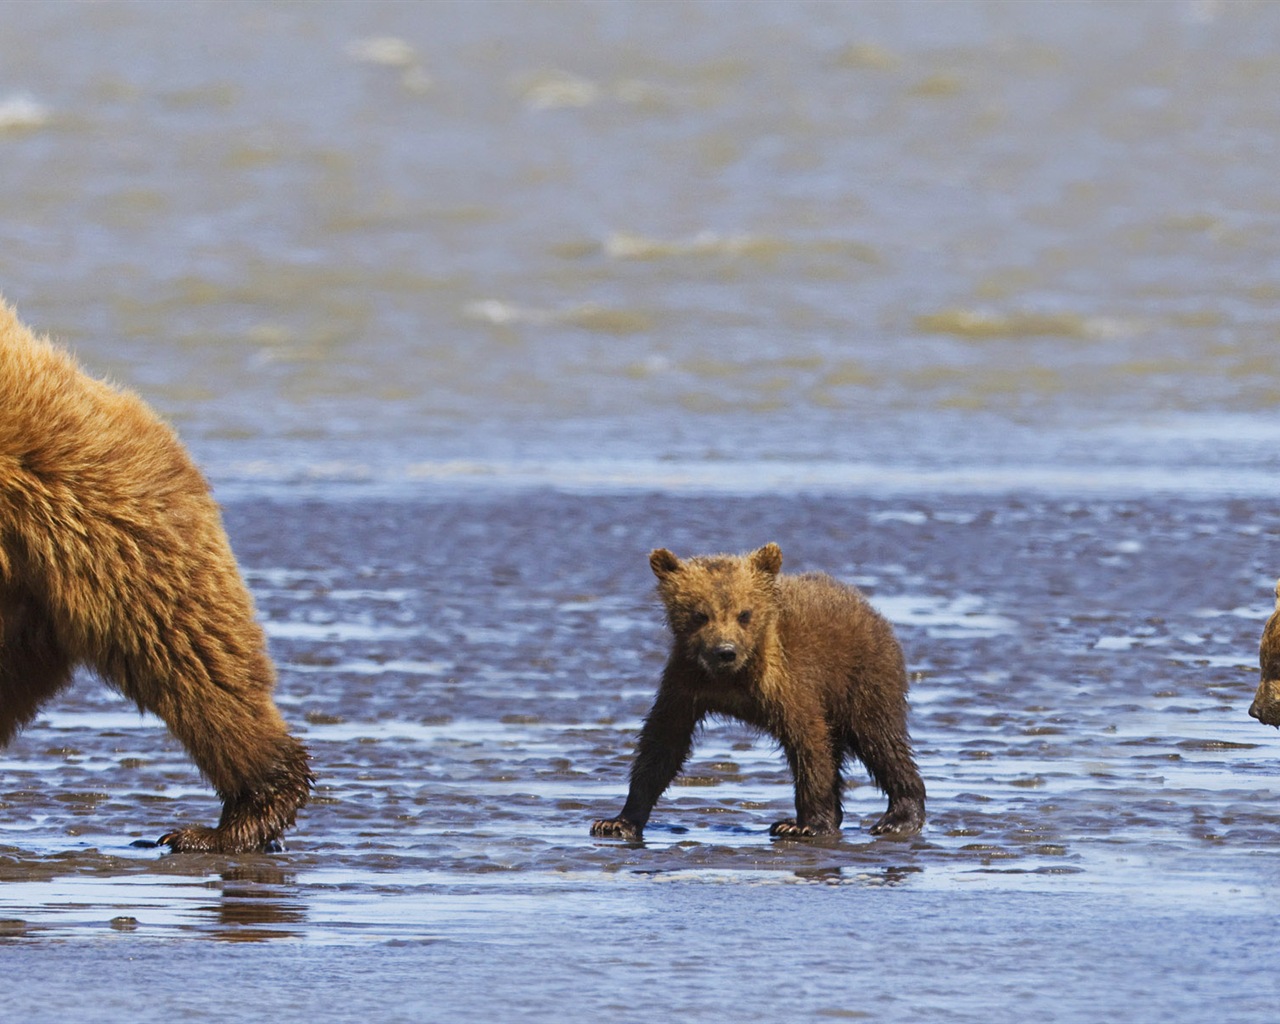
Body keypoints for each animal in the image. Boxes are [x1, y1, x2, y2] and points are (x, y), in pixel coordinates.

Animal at [593, 542, 926, 839]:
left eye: (744, 614)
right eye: (700, 614)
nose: (725, 651)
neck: (733, 678)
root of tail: (865, 605)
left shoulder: (786, 681)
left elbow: (809, 742)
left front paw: (808, 825)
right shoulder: (685, 682)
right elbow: (662, 743)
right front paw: (618, 821)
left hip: (862, 675)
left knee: (878, 737)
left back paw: (898, 817)